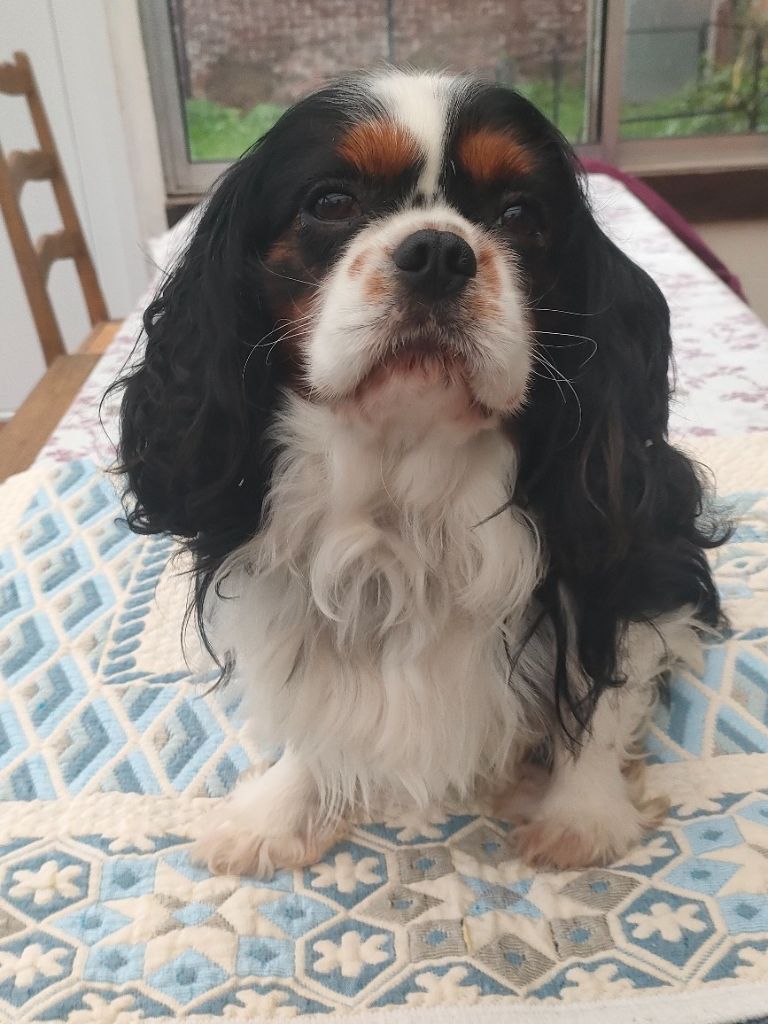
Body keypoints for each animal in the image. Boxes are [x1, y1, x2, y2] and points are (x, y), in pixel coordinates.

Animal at [116, 70, 726, 878]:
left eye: (520, 214)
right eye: (332, 203)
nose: (438, 250)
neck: (403, 471)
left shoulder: (627, 567)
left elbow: (602, 687)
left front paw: (582, 812)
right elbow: (313, 696)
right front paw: (279, 806)